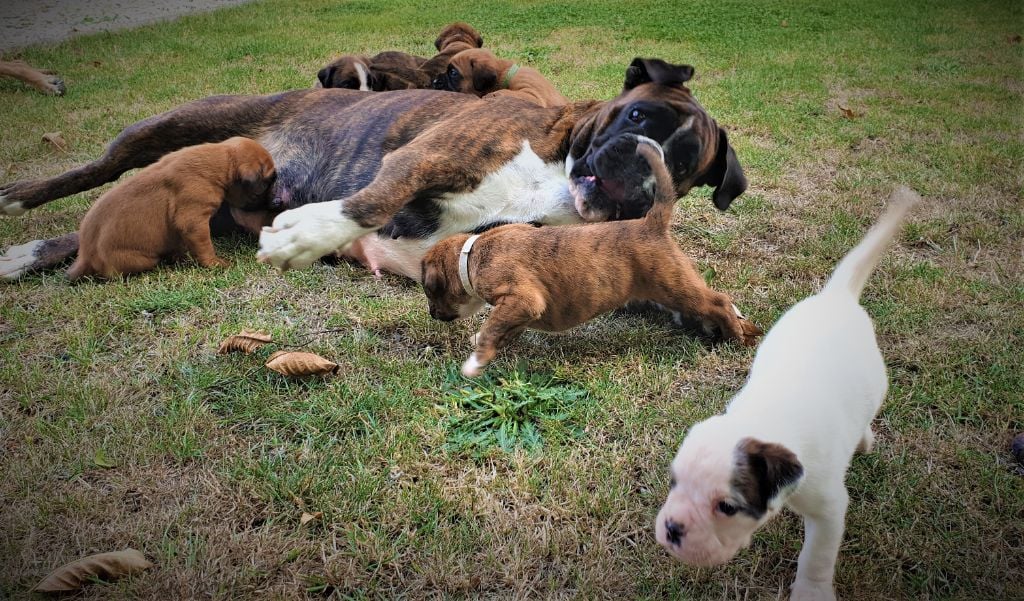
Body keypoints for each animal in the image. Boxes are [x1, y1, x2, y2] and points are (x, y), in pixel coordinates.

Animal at [67, 136, 276, 280]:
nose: (273, 202)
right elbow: (204, 246)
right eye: (265, 184)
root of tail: (85, 256)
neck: (221, 160)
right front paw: (214, 263)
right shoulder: (193, 222)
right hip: (139, 259)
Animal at [419, 141, 765, 376]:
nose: (433, 315)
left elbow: (494, 327)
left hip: (674, 286)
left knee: (718, 302)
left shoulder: (521, 298)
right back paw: (745, 331)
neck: (471, 254)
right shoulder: (520, 310)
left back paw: (735, 336)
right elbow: (501, 327)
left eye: (429, 290)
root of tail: (652, 222)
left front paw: (475, 363)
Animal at [655, 188, 921, 601]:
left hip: (876, 385)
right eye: (673, 482)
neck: (764, 420)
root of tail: (835, 297)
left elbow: (816, 556)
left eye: (727, 507)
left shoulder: (829, 507)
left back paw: (864, 438)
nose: (672, 528)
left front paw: (811, 590)